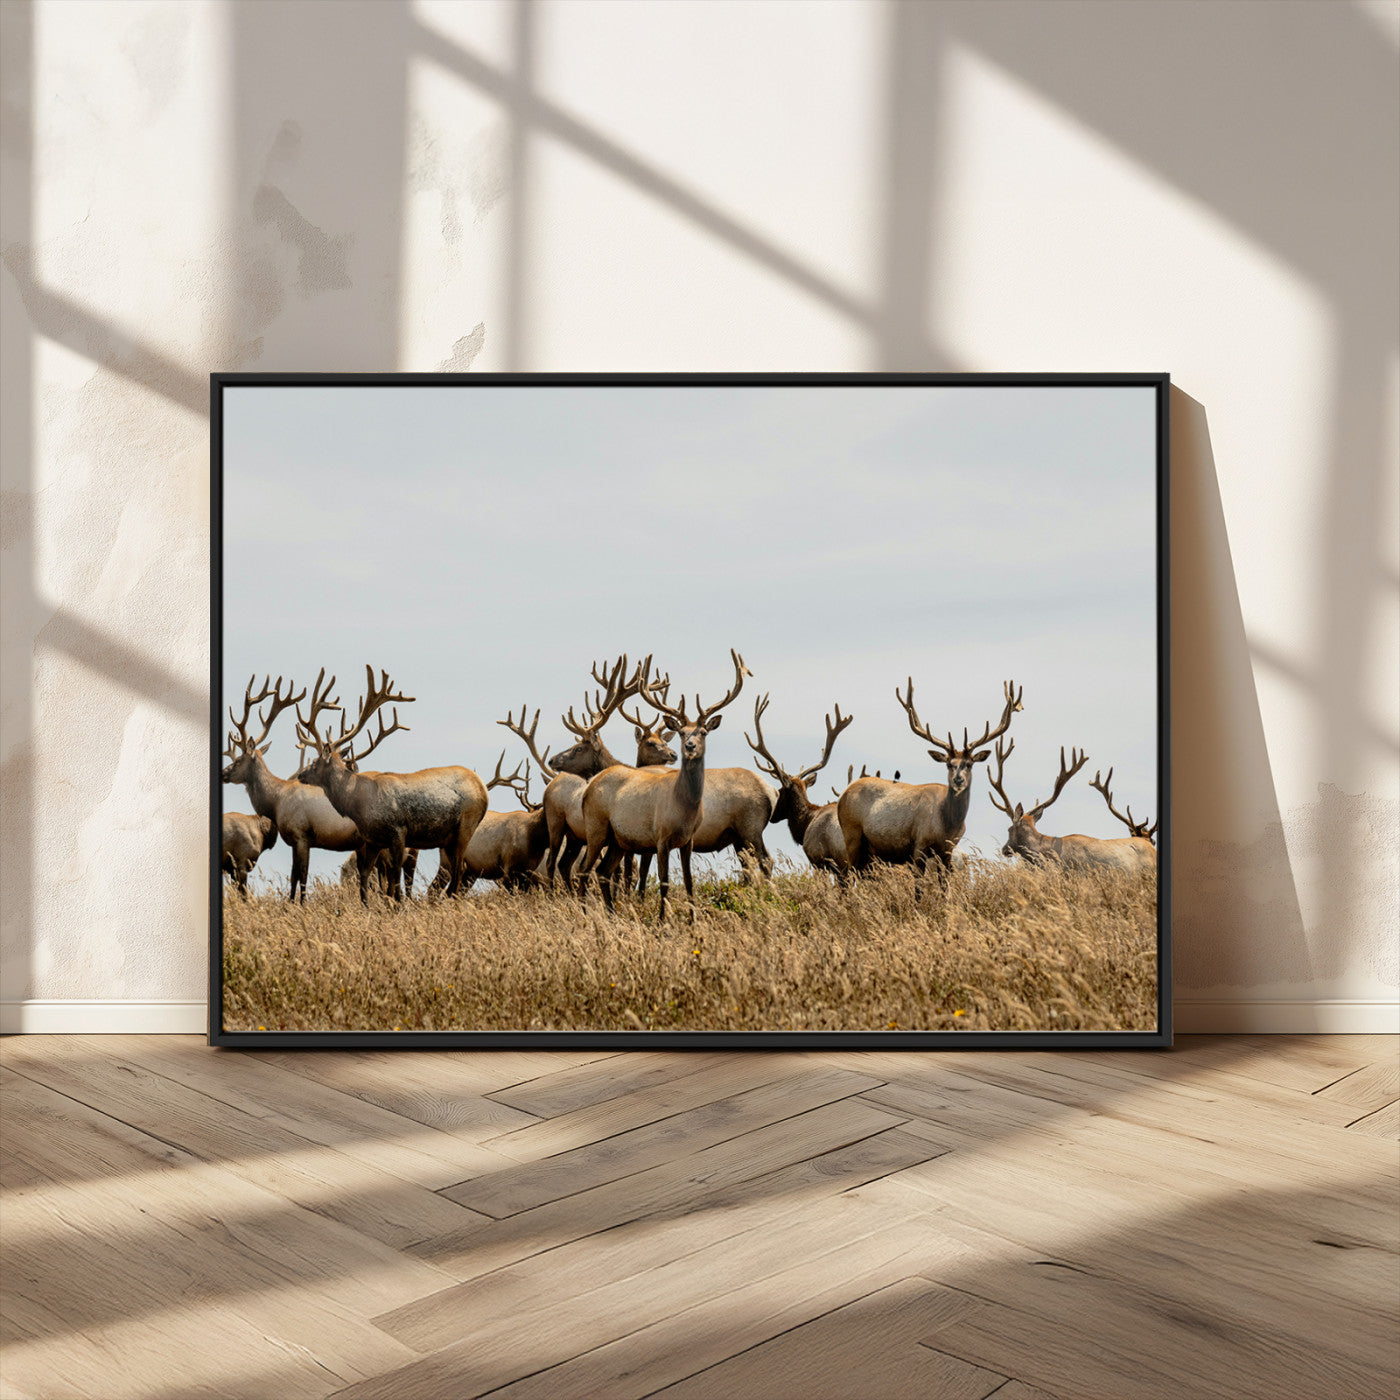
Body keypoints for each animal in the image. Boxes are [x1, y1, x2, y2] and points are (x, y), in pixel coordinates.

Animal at [221, 674, 373, 901]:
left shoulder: (302, 835)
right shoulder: (294, 841)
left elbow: (302, 875)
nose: (222, 773)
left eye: (238, 760)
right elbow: (293, 876)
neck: (276, 801)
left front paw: (301, 904)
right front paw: (291, 903)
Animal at [295, 666, 488, 902]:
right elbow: (366, 877)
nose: (300, 775)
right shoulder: (373, 840)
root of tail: (483, 788)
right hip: (449, 838)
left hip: (465, 826)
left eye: (315, 762)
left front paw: (396, 905)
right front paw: (368, 905)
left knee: (458, 872)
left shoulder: (398, 831)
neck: (358, 804)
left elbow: (394, 880)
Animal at [577, 650, 750, 921]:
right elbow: (665, 881)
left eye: (703, 732)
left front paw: (692, 921)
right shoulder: (661, 836)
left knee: (602, 871)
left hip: (618, 839)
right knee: (585, 870)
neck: (684, 808)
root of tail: (588, 788)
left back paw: (612, 914)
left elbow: (689, 881)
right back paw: (585, 915)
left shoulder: (688, 840)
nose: (689, 746)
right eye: (681, 732)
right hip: (596, 826)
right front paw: (662, 921)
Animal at [838, 677, 1022, 884]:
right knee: (847, 876)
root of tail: (844, 794)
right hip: (851, 834)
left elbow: (945, 885)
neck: (947, 826)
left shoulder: (947, 851)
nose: (958, 780)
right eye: (949, 764)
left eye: (969, 764)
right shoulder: (919, 844)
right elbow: (918, 884)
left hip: (869, 850)